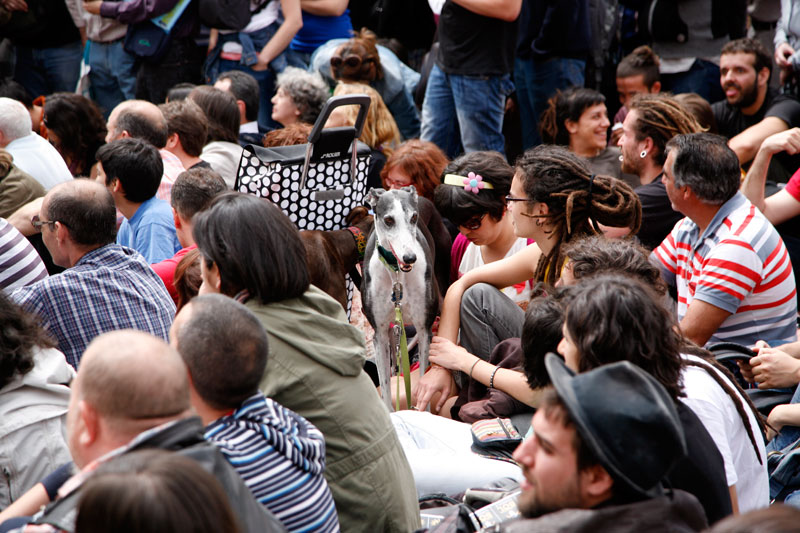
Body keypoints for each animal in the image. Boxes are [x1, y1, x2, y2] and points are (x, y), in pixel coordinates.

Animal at [362, 187, 439, 410]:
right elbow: (386, 392)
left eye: (413, 217)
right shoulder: (378, 334)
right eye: (388, 220)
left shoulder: (424, 330)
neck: (397, 275)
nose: (410, 258)